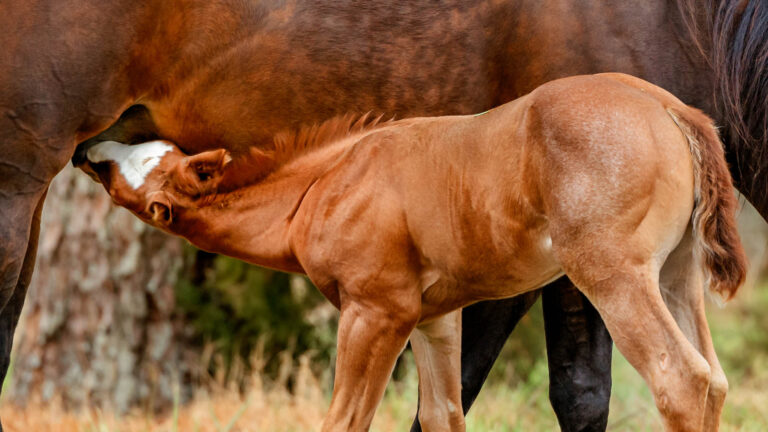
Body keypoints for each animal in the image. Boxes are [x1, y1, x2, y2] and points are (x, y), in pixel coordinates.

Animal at [2, 1, 766, 430]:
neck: (326, 186)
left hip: (615, 277)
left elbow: (348, 420)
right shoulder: (433, 318)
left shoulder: (376, 313)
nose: (92, 150)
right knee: (712, 383)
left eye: (137, 175)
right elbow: (444, 414)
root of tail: (673, 109)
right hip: (672, 278)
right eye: (146, 149)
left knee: (684, 382)